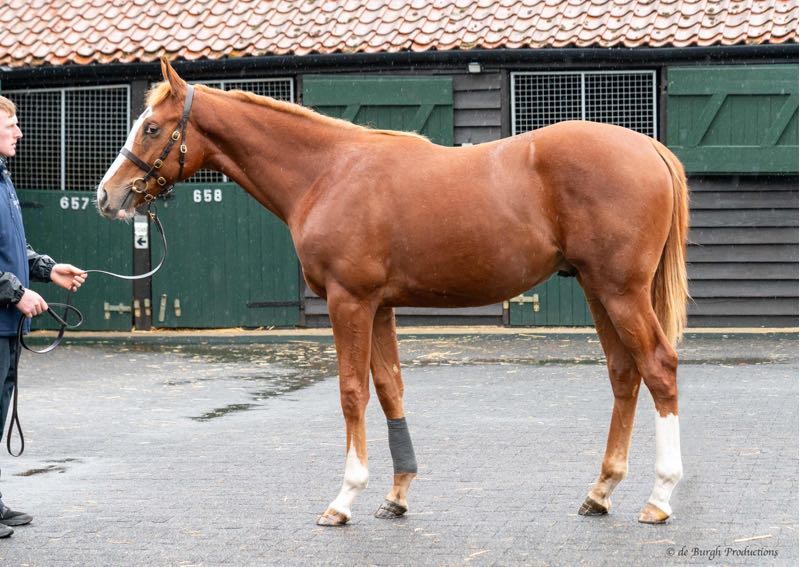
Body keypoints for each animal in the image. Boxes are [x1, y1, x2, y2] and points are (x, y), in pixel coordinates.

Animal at [97, 57, 689, 526]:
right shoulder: (379, 306)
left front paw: (344, 499)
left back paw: (659, 498)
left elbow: (351, 392)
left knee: (658, 367)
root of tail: (649, 148)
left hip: (620, 290)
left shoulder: (349, 301)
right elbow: (389, 390)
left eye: (152, 127)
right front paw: (397, 495)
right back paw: (601, 491)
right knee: (624, 373)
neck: (328, 173)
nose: (107, 196)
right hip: (597, 288)